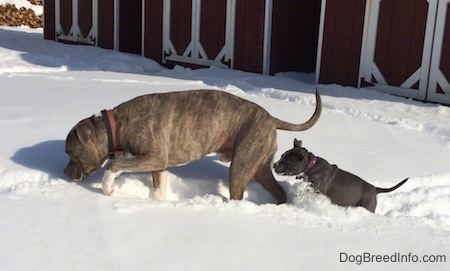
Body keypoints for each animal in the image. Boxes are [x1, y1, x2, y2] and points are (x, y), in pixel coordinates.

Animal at [272, 140, 410, 212]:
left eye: (287, 161)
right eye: (282, 155)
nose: (274, 164)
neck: (310, 166)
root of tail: (374, 189)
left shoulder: (319, 187)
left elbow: (307, 187)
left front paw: (297, 190)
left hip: (366, 205)